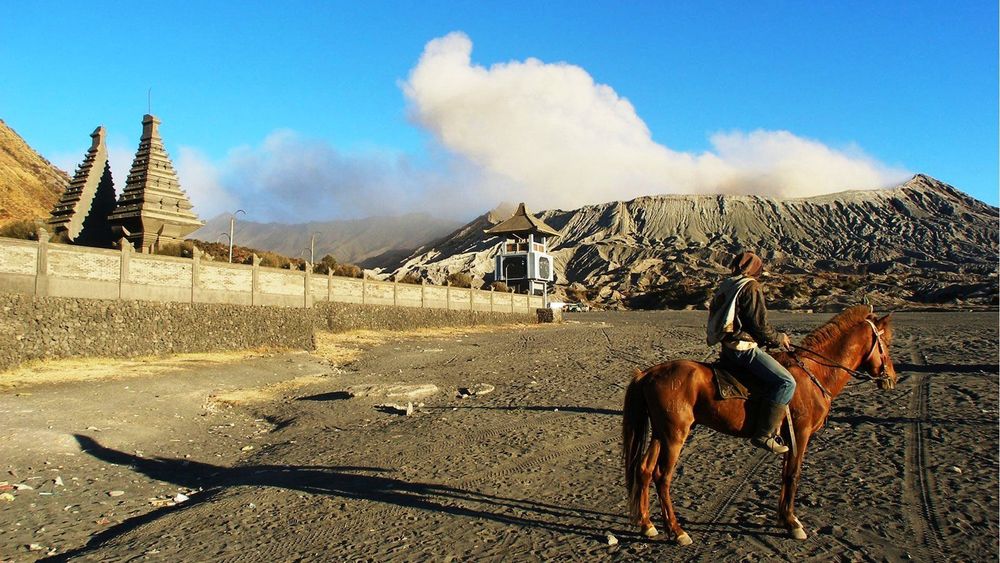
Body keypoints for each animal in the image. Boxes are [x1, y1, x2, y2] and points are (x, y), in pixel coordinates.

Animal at [624, 306, 900, 544]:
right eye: (886, 343)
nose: (892, 378)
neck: (814, 374)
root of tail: (648, 374)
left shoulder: (789, 438)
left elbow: (785, 474)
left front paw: (784, 519)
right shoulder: (801, 434)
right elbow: (793, 475)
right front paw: (793, 524)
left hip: (661, 433)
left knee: (645, 470)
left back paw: (647, 525)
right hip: (674, 435)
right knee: (662, 476)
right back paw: (677, 531)